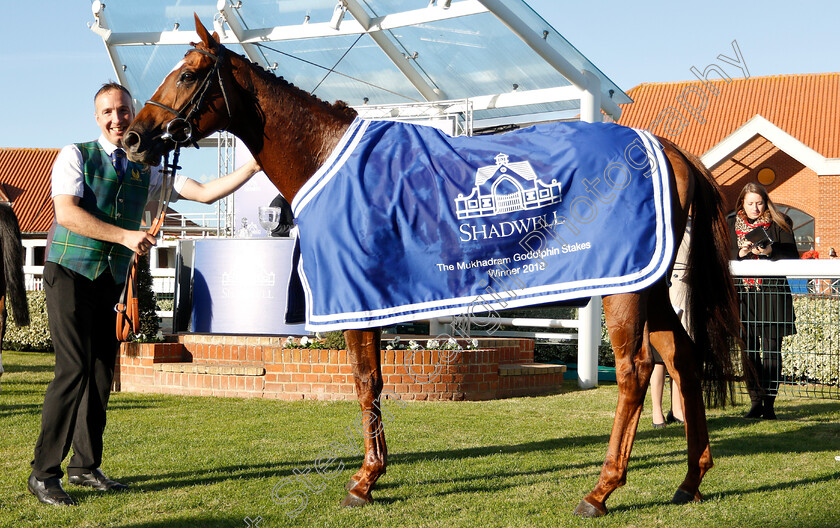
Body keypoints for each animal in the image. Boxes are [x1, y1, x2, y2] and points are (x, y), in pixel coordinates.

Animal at [121, 17, 740, 520]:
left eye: (188, 74)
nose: (132, 136)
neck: (327, 158)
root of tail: (668, 149)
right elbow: (370, 380)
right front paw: (374, 473)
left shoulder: (359, 298)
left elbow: (365, 379)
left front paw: (364, 479)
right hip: (650, 285)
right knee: (682, 358)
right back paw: (690, 480)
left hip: (625, 288)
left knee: (635, 370)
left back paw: (601, 490)